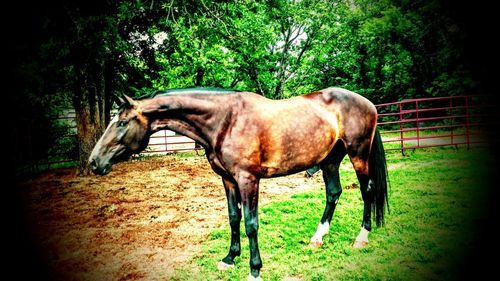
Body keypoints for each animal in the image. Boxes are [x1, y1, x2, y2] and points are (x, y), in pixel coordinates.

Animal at [88, 86, 388, 278]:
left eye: (122, 122)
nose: (93, 162)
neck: (226, 121)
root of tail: (368, 104)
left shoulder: (248, 180)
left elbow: (251, 224)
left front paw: (255, 269)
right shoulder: (228, 180)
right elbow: (234, 218)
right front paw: (230, 258)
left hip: (358, 155)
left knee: (367, 190)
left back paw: (362, 237)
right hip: (330, 160)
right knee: (333, 193)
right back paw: (318, 237)